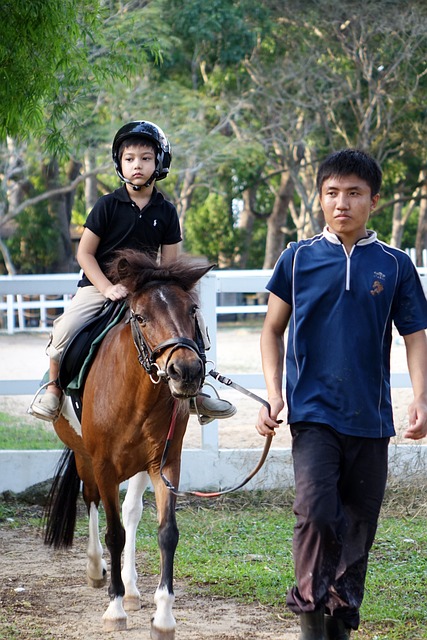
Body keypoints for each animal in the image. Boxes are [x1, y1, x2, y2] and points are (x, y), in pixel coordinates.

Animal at [44, 249, 214, 636]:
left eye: (191, 310)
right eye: (140, 317)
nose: (186, 372)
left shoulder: (165, 463)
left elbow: (166, 532)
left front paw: (163, 616)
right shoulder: (104, 464)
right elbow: (114, 534)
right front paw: (115, 608)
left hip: (137, 464)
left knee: (131, 512)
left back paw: (134, 590)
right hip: (84, 456)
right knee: (91, 500)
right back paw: (97, 570)